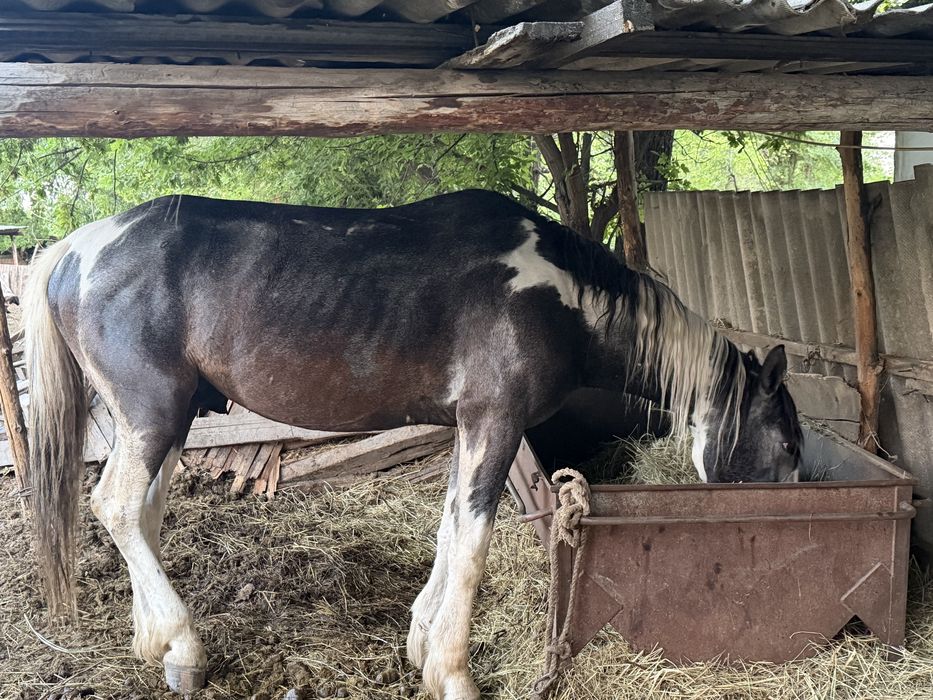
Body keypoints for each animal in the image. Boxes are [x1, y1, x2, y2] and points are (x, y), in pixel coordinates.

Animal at [24, 189, 801, 699]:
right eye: (789, 447)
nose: (773, 532)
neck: (557, 294)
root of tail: (72, 249)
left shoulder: (471, 426)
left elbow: (451, 527)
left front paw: (422, 643)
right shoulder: (495, 421)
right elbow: (473, 543)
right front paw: (453, 674)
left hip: (172, 417)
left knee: (144, 514)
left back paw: (157, 645)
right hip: (152, 413)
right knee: (116, 506)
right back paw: (183, 644)